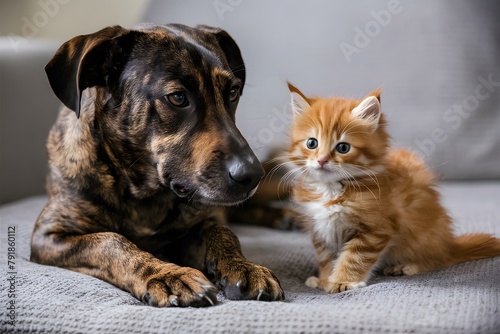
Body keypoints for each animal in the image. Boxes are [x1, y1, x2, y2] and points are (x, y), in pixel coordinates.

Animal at [31, 22, 286, 308]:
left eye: (232, 92)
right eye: (177, 98)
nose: (252, 176)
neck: (142, 190)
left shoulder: (200, 220)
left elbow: (221, 231)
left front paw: (244, 266)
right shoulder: (50, 235)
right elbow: (110, 241)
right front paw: (166, 274)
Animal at [286, 83, 500, 292]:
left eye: (343, 148)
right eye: (312, 143)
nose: (321, 160)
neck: (331, 189)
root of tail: (449, 244)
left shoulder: (376, 229)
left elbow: (354, 258)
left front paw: (343, 281)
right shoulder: (321, 231)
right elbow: (326, 258)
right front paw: (324, 279)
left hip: (423, 236)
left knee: (438, 260)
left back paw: (407, 266)